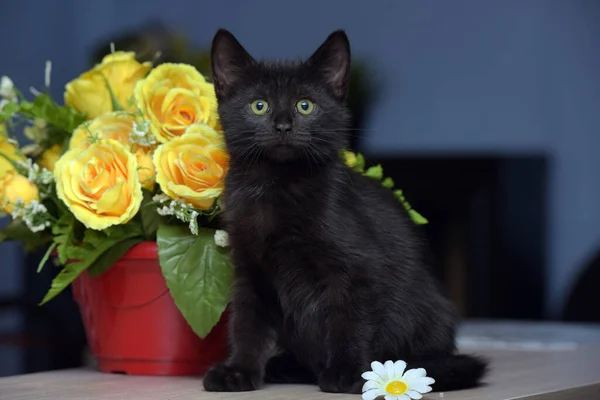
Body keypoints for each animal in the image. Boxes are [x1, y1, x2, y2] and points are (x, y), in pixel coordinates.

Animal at [203, 28, 488, 394]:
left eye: (305, 105)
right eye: (259, 105)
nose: (283, 126)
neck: (277, 186)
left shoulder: (358, 272)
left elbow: (347, 321)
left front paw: (347, 373)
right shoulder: (250, 269)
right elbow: (246, 323)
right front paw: (238, 370)